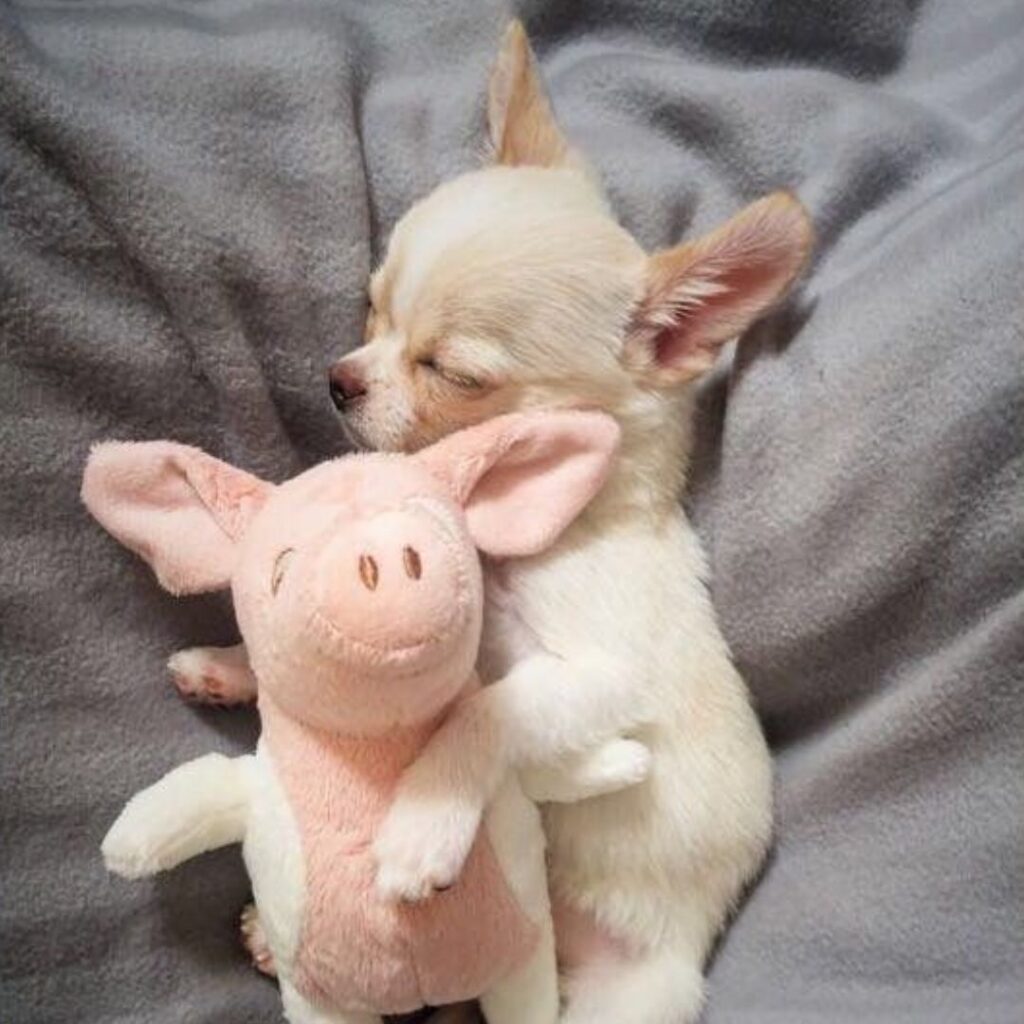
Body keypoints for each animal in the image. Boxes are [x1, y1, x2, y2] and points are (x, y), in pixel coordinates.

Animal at [172, 18, 811, 1024]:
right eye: (372, 305)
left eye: (455, 373)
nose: (338, 381)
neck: (529, 520)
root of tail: (693, 942)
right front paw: (229, 666)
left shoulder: (604, 676)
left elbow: (483, 709)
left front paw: (417, 830)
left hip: (631, 994)